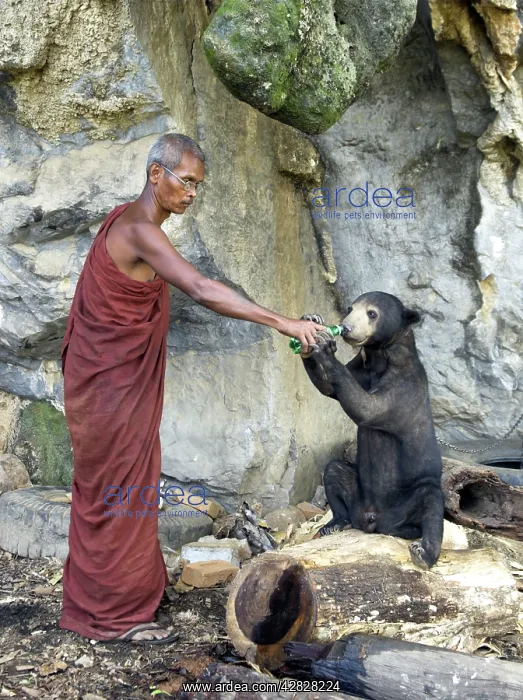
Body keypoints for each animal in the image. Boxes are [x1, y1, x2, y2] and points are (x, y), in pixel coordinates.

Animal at [301, 291, 444, 570]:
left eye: (372, 313)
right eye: (350, 308)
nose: (346, 328)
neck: (377, 357)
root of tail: (375, 519)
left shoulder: (403, 380)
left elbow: (369, 407)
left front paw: (325, 347)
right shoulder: (360, 366)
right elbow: (329, 389)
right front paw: (311, 326)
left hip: (409, 495)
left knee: (432, 502)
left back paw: (423, 552)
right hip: (358, 491)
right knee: (334, 472)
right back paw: (334, 523)